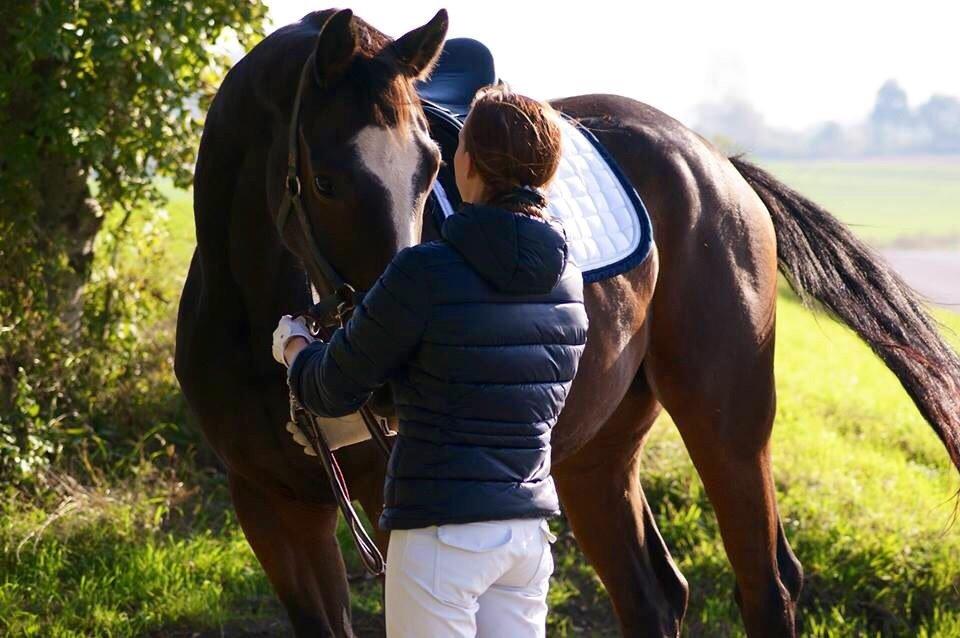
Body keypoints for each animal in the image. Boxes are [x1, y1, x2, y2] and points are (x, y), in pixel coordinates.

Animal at [174, 7, 960, 636]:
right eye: (327, 180)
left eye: (429, 169)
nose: (387, 377)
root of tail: (716, 161)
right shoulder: (273, 510)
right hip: (592, 452)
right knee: (653, 596)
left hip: (728, 427)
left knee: (767, 584)